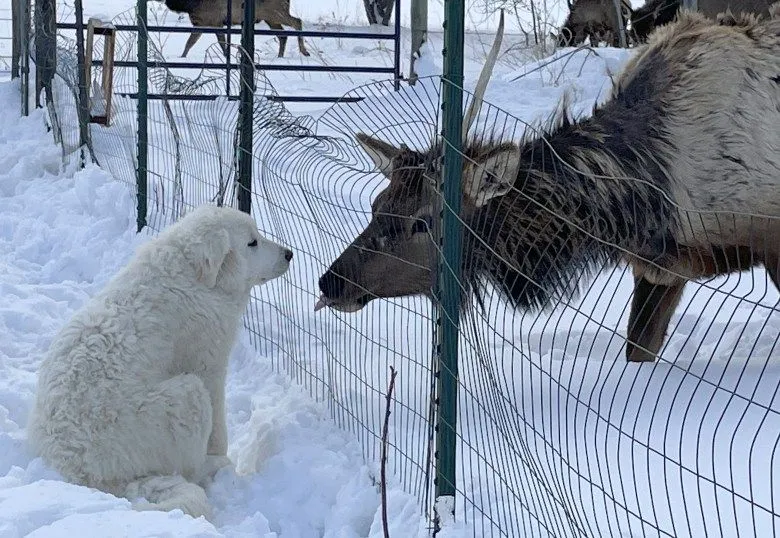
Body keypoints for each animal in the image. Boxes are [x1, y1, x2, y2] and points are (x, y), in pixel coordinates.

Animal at [157, 0, 310, 59]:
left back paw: (304, 51)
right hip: (270, 19)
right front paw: (182, 57)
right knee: (283, 35)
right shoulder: (202, 24)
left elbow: (221, 43)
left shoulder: (214, 22)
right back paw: (280, 56)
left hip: (275, 13)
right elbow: (190, 43)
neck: (189, 5)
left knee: (297, 21)